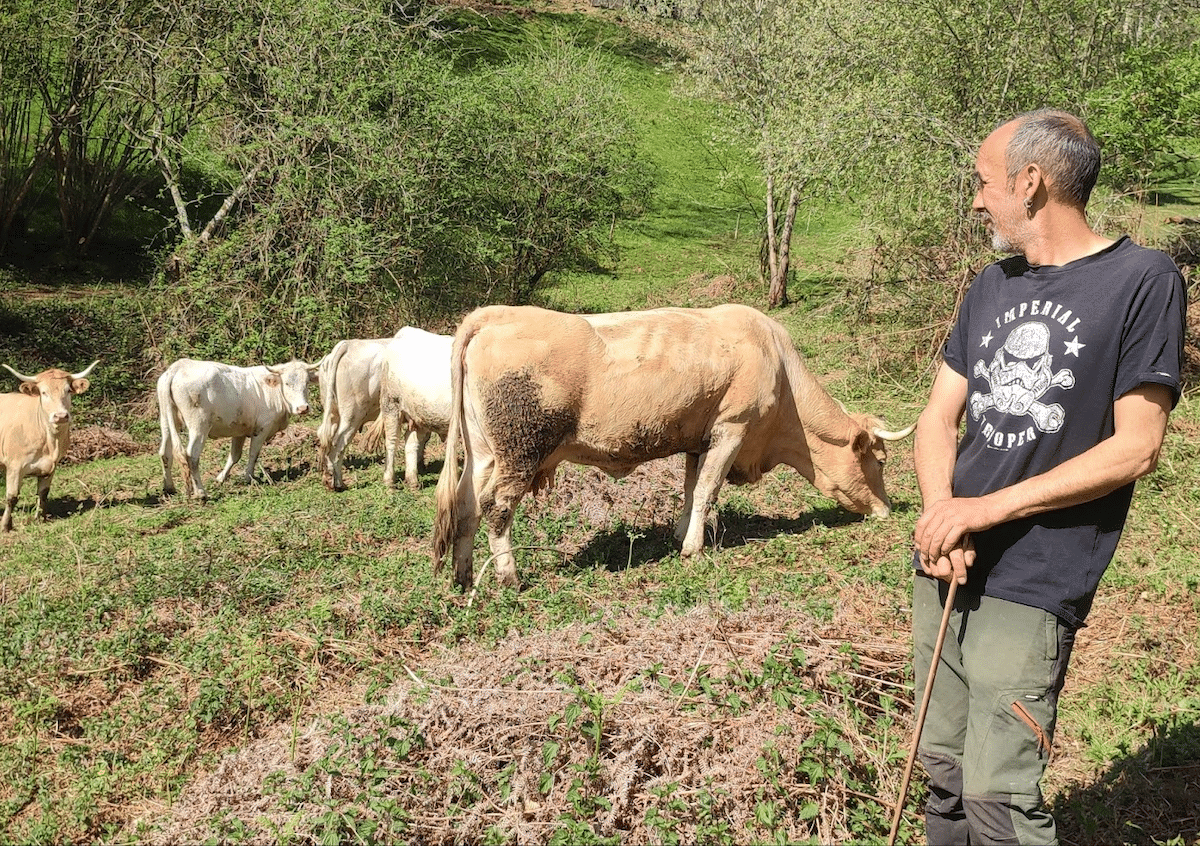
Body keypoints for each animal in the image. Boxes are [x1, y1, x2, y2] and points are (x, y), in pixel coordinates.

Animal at [0, 360, 99, 531]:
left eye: (68, 390)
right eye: (43, 392)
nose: (60, 416)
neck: (50, 443)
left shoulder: (51, 466)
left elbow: (43, 493)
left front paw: (41, 518)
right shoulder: (14, 466)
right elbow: (12, 497)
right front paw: (5, 526)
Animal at [157, 358, 318, 499]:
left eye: (307, 383)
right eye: (286, 383)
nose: (303, 408)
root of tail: (178, 367)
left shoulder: (239, 430)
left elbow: (234, 456)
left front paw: (221, 478)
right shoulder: (262, 428)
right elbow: (253, 454)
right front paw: (249, 477)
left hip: (166, 420)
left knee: (165, 452)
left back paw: (169, 488)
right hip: (199, 425)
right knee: (192, 456)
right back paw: (201, 493)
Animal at [315, 337, 393, 491]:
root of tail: (347, 344)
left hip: (333, 412)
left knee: (325, 438)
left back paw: (328, 479)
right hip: (352, 416)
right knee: (338, 444)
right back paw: (338, 483)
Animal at [376, 326, 453, 489]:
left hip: (420, 414)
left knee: (410, 441)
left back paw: (412, 480)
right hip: (391, 404)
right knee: (392, 440)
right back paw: (389, 480)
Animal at [432, 304, 913, 590]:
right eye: (879, 460)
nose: (887, 509)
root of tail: (493, 314)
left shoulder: (699, 438)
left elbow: (691, 487)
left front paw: (682, 533)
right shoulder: (732, 427)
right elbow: (708, 489)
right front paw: (694, 549)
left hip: (483, 452)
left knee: (466, 505)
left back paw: (463, 576)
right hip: (521, 450)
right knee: (496, 507)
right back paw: (509, 576)